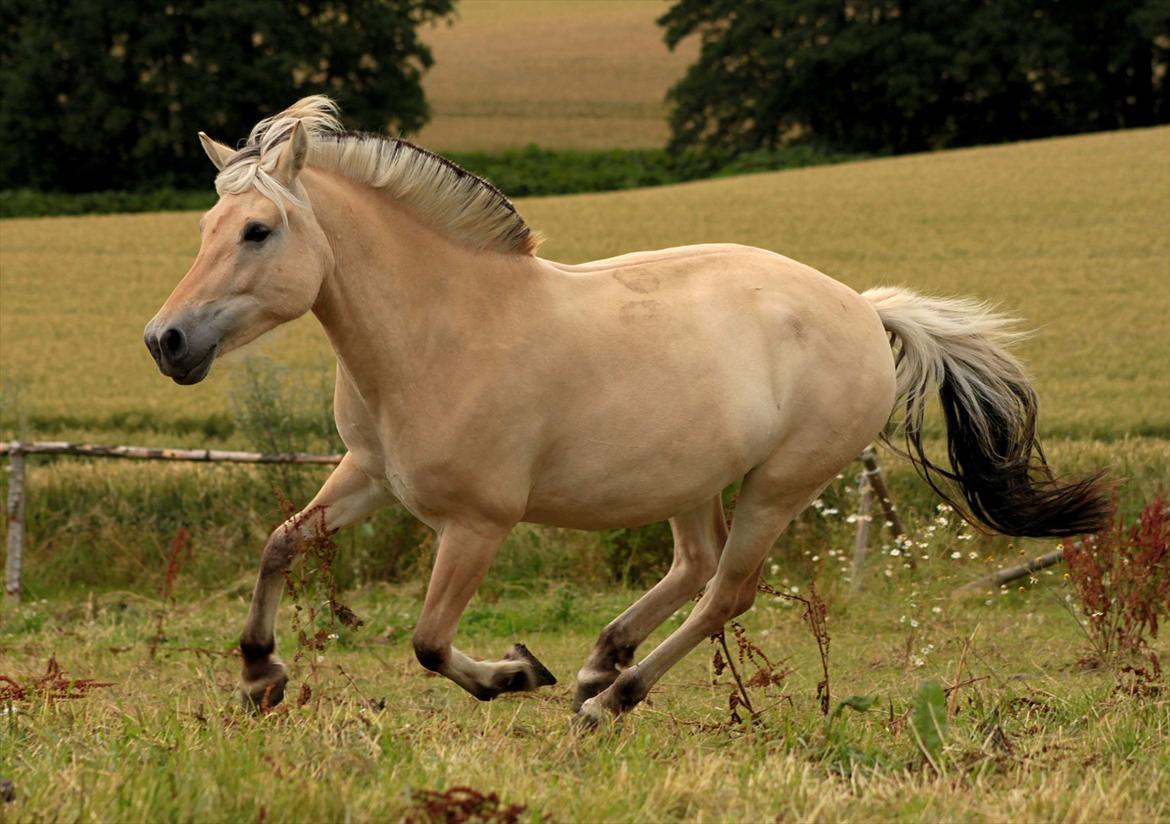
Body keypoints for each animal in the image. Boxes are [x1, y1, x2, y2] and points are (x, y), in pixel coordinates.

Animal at [145, 97, 1108, 723]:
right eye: (204, 228)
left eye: (259, 231)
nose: (166, 341)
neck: (442, 329)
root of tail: (867, 312)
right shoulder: (370, 473)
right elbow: (281, 544)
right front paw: (259, 677)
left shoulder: (478, 523)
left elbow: (426, 640)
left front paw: (514, 673)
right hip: (693, 477)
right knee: (695, 566)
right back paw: (599, 661)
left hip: (781, 485)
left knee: (727, 591)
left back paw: (609, 698)